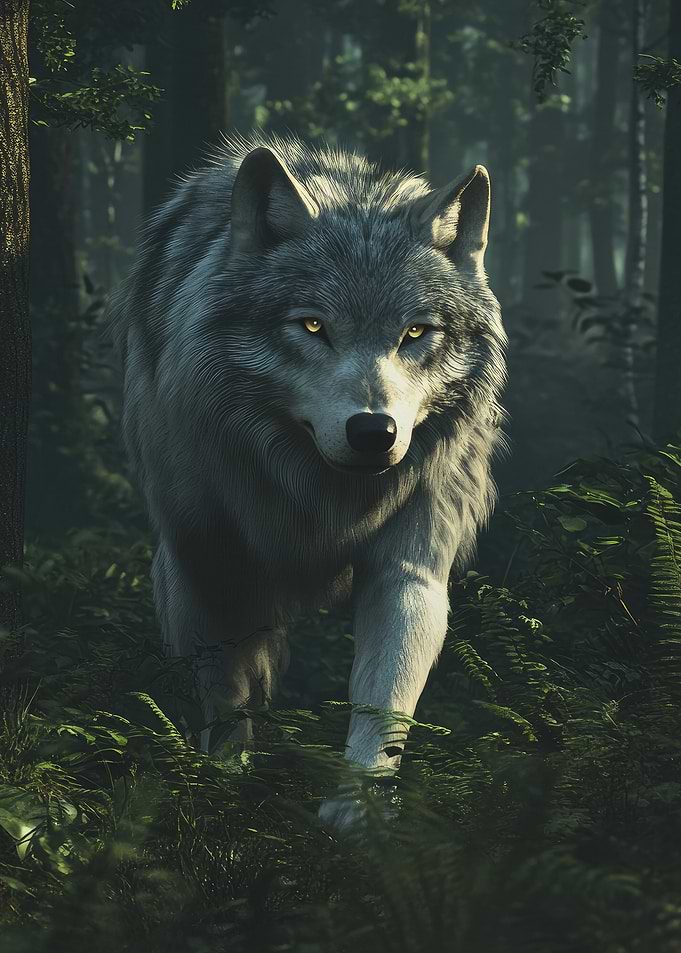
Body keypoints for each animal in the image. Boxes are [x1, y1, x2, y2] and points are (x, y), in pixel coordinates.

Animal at [108, 131, 507, 830]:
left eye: (415, 332)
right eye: (313, 326)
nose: (373, 431)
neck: (319, 497)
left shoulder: (408, 566)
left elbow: (384, 697)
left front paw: (357, 811)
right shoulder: (206, 562)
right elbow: (226, 689)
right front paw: (224, 782)